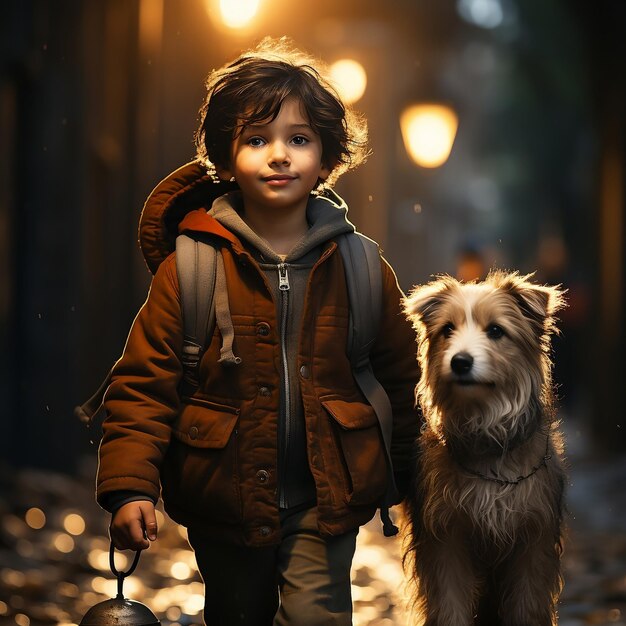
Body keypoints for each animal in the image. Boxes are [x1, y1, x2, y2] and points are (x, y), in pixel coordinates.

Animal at [400, 272, 564, 624]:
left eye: (496, 331)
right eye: (448, 329)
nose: (460, 361)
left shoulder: (533, 540)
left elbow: (527, 606)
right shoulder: (445, 540)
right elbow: (450, 604)